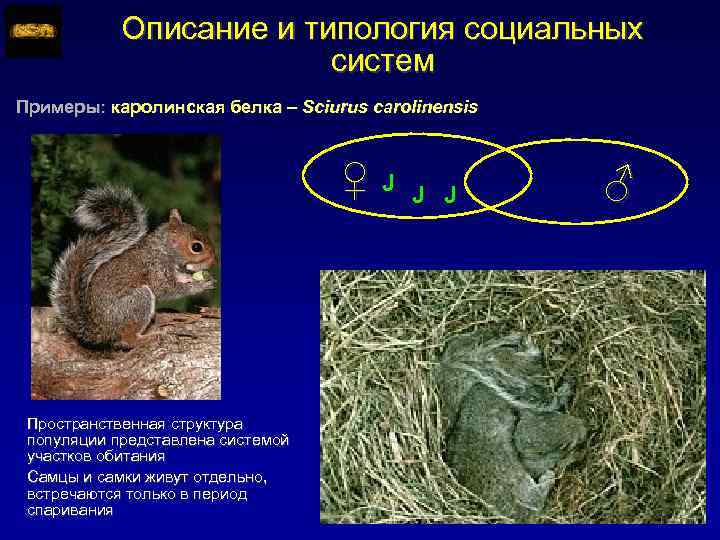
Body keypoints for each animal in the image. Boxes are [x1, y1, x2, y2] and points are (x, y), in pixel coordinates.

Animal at [50, 185, 217, 349]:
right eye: (196, 247)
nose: (213, 262)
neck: (163, 250)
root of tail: (99, 331)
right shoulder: (155, 267)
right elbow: (166, 289)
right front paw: (199, 286)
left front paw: (188, 277)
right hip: (138, 301)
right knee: (127, 339)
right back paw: (148, 337)